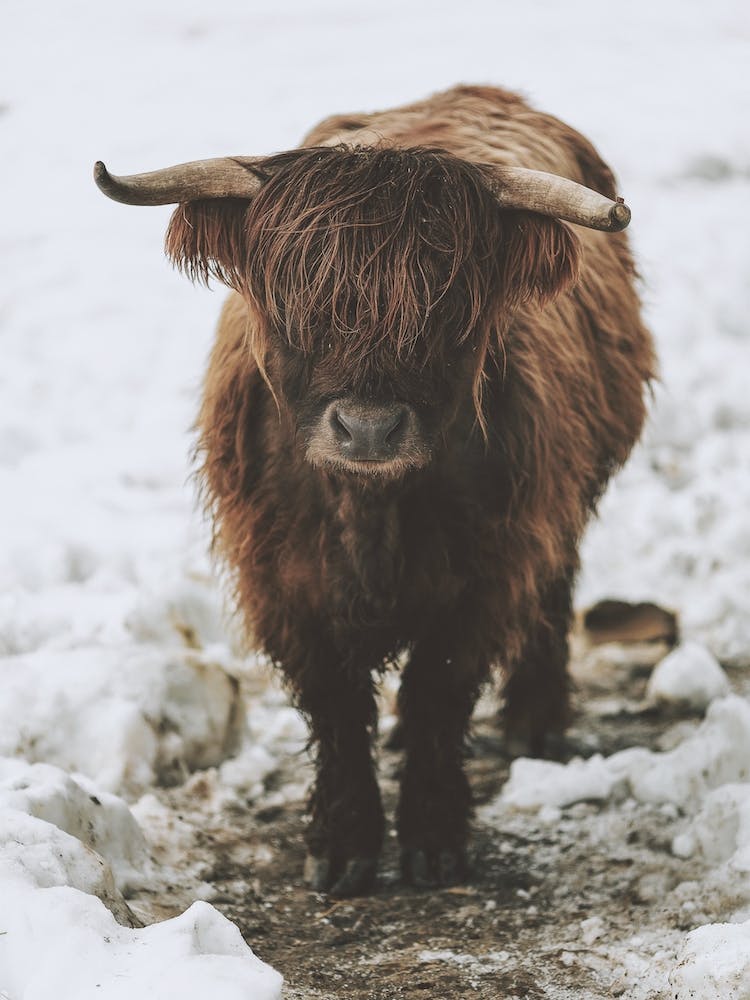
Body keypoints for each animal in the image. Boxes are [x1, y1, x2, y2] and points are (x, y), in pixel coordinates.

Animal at [95, 85, 655, 897]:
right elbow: (335, 704)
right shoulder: (281, 580)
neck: (370, 509)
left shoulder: (488, 570)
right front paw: (343, 845)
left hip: (567, 497)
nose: (367, 428)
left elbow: (439, 692)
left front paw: (434, 839)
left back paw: (536, 722)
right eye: (294, 308)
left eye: (449, 313)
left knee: (554, 586)